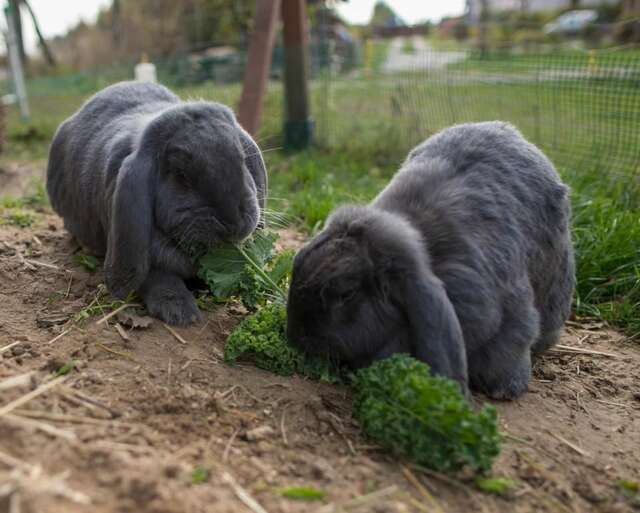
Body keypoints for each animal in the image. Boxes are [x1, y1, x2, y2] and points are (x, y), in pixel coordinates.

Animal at [45, 82, 264, 326]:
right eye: (181, 175)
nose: (235, 224)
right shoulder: (145, 261)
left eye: (242, 160)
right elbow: (157, 279)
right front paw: (180, 313)